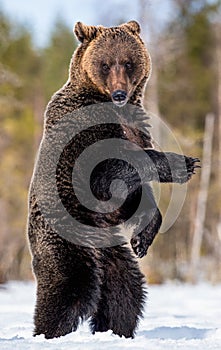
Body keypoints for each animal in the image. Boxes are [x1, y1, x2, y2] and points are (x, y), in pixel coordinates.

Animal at [27, 19, 199, 340]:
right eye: (105, 64)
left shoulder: (136, 130)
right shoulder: (84, 137)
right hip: (66, 239)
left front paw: (142, 238)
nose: (120, 94)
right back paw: (48, 332)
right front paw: (184, 164)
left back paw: (116, 330)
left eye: (128, 62)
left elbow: (133, 193)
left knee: (126, 292)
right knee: (68, 289)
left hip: (112, 254)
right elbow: (110, 171)